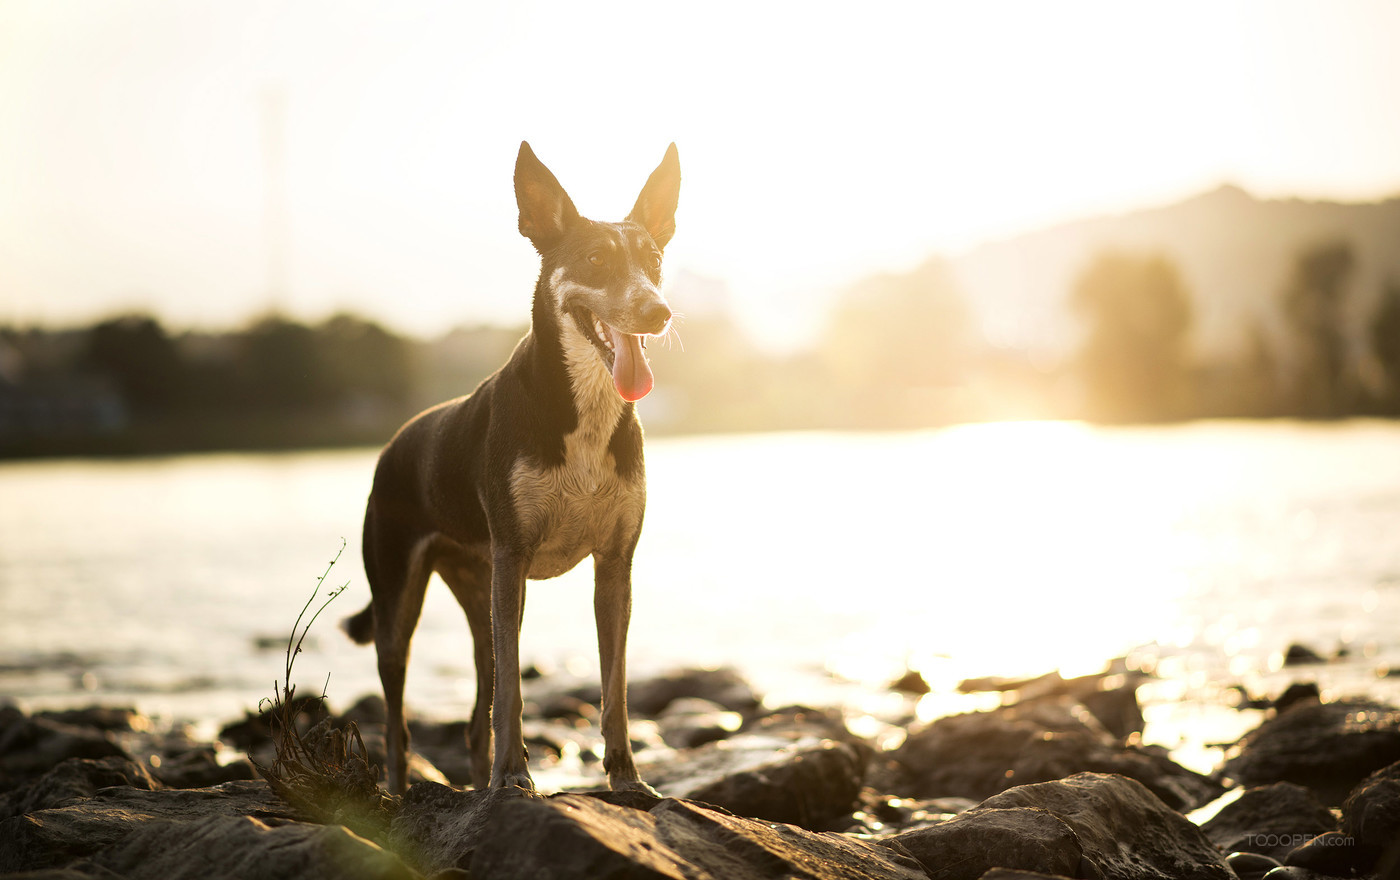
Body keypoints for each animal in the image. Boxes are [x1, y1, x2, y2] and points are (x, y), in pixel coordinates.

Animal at [338, 140, 677, 794]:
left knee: (475, 718)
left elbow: (616, 687)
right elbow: (515, 692)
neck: (583, 408)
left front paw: (626, 778)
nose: (658, 311)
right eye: (595, 259)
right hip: (401, 600)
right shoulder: (514, 558)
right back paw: (403, 790)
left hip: (479, 592)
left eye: (654, 261)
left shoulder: (614, 567)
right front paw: (514, 777)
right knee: (398, 721)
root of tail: (393, 445)